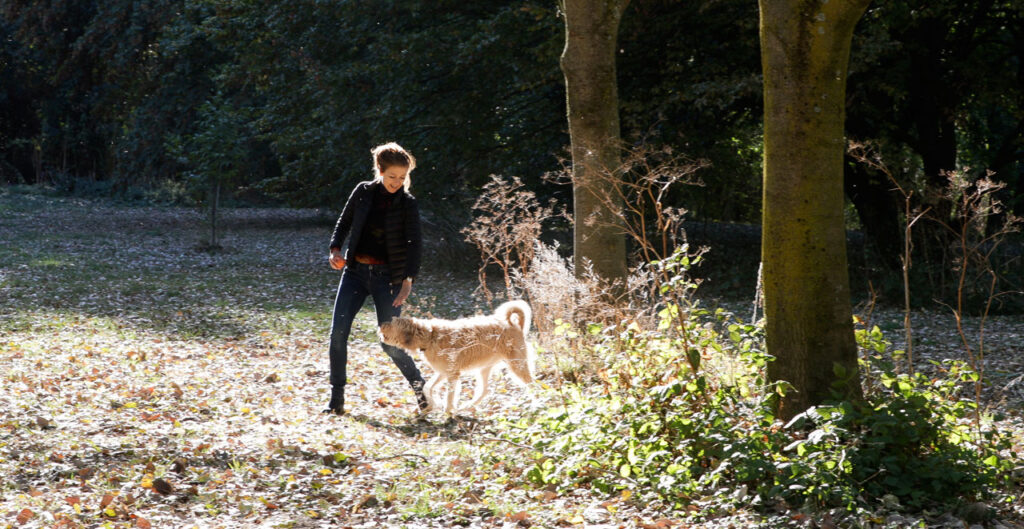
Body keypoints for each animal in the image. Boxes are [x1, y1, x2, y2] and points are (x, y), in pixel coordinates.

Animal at [378, 298, 536, 415]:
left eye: (392, 322)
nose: (380, 324)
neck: (430, 336)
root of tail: (513, 324)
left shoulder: (452, 374)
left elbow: (449, 395)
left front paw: (448, 411)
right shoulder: (443, 372)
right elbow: (428, 386)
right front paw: (434, 404)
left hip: (518, 365)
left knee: (532, 384)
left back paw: (536, 404)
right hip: (484, 369)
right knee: (485, 390)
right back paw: (468, 406)